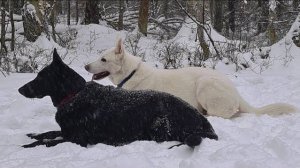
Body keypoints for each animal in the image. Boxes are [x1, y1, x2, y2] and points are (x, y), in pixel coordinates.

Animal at [18, 48, 218, 148]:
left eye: (41, 77)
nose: (20, 89)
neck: (75, 94)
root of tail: (205, 123)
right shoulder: (66, 132)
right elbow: (48, 133)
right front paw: (33, 135)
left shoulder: (78, 139)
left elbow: (49, 141)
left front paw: (29, 145)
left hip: (159, 123)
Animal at [84, 38, 296, 119]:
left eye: (103, 59)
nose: (85, 66)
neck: (131, 74)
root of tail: (236, 92)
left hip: (205, 84)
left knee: (224, 114)